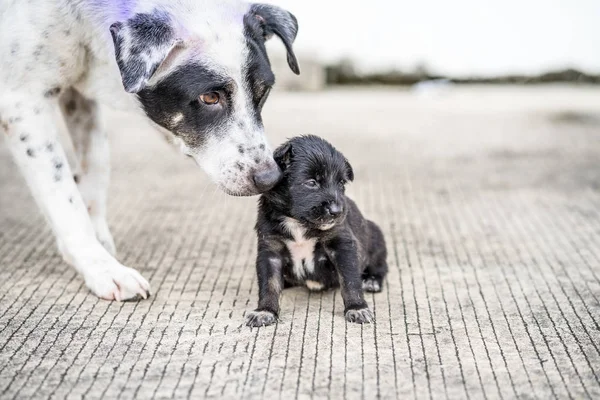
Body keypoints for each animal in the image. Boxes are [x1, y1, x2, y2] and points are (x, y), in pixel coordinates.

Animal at [0, 0, 300, 300]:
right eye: (209, 97)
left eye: (263, 92)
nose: (270, 178)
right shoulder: (23, 103)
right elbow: (63, 197)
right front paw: (101, 267)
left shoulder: (79, 95)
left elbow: (96, 165)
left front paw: (96, 242)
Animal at [245, 136, 390, 326]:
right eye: (311, 183)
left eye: (341, 183)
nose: (337, 211)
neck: (298, 222)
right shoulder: (270, 251)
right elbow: (269, 284)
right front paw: (265, 311)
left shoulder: (342, 246)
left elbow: (350, 280)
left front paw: (357, 308)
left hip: (375, 237)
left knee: (381, 265)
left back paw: (372, 281)